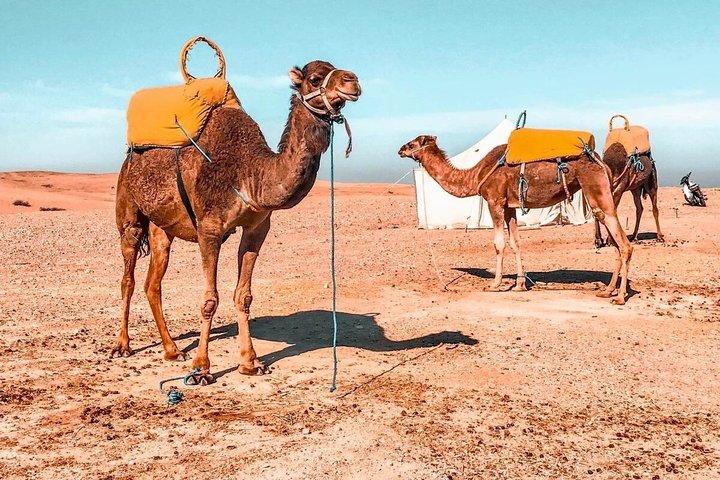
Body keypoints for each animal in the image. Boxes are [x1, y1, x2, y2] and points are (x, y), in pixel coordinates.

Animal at [111, 61, 361, 383]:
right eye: (316, 78)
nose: (352, 81)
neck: (250, 173)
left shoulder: (257, 228)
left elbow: (243, 296)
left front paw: (250, 362)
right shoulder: (209, 228)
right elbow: (210, 300)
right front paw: (201, 368)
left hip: (162, 229)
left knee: (153, 283)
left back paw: (172, 349)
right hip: (129, 213)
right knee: (127, 278)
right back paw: (122, 345)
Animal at [398, 135, 633, 304]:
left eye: (412, 143)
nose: (400, 149)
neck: (476, 175)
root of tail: (602, 162)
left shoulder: (494, 201)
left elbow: (499, 243)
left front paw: (495, 284)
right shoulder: (509, 206)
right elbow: (515, 242)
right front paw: (520, 284)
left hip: (595, 187)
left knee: (624, 244)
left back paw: (620, 297)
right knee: (615, 242)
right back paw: (608, 291)